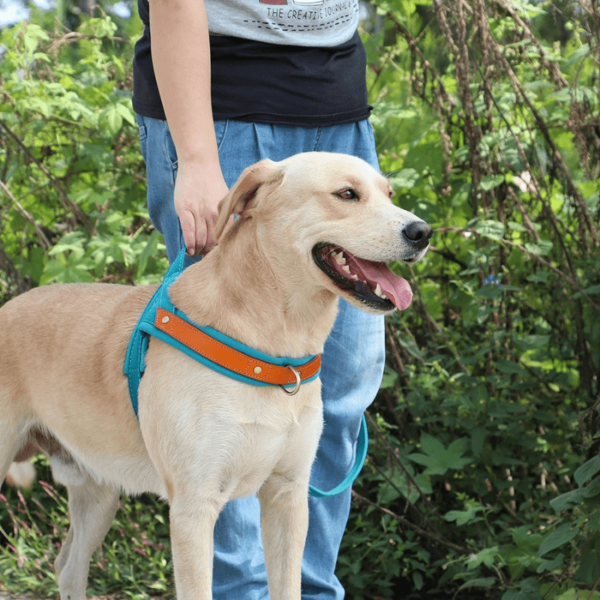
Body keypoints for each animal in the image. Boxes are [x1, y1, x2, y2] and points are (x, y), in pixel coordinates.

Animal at [0, 152, 432, 600]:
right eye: (347, 194)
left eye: (389, 194)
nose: (423, 232)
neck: (275, 349)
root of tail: (8, 307)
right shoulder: (194, 509)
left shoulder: (288, 496)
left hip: (98, 492)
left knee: (68, 565)